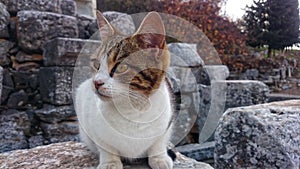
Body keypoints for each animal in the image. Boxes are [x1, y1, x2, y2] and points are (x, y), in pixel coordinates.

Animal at [75, 10, 173, 169]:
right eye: (96, 65)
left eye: (121, 67)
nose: (96, 82)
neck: (132, 109)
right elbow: (104, 144)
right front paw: (110, 162)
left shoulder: (167, 120)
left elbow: (159, 140)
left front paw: (159, 157)